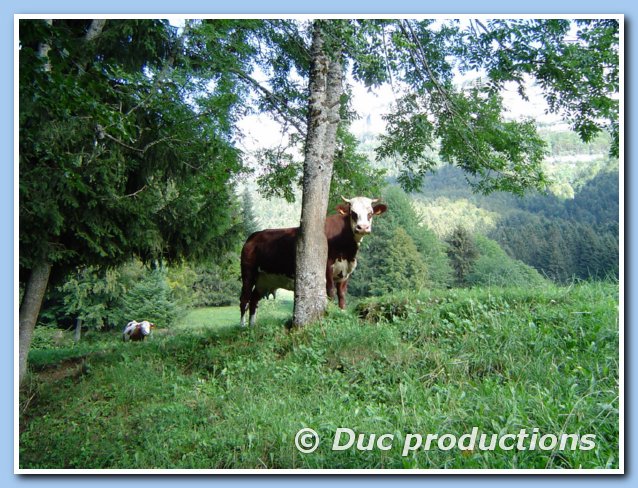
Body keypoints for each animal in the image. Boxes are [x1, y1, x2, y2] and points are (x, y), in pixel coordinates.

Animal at [241, 195, 388, 328]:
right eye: (353, 213)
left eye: (370, 213)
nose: (362, 227)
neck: (347, 249)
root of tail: (254, 235)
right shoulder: (327, 268)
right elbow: (330, 293)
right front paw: (330, 313)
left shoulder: (345, 273)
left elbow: (342, 295)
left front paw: (342, 312)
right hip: (248, 272)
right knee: (245, 299)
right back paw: (242, 326)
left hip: (265, 279)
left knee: (254, 300)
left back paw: (252, 326)